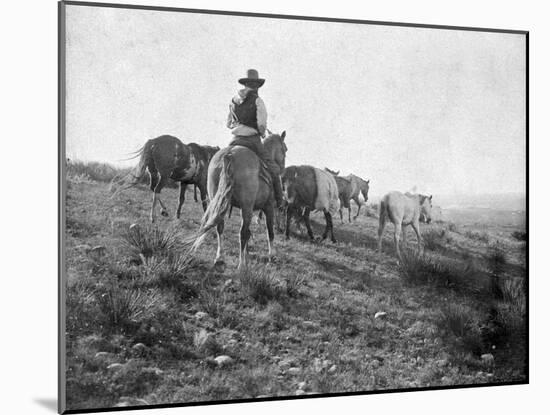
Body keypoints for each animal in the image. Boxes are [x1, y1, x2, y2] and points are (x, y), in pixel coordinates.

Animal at [191, 132, 288, 272]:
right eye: (285, 149)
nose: (282, 169)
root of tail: (230, 154)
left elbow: (249, 232)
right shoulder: (268, 207)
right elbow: (269, 232)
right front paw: (272, 256)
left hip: (220, 201)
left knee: (220, 227)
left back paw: (220, 258)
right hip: (247, 207)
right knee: (241, 232)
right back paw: (241, 265)